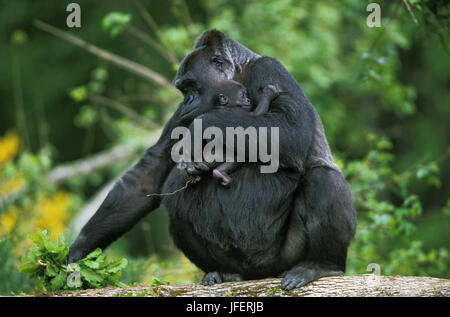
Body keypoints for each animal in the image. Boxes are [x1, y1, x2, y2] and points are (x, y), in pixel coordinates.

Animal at [68, 30, 356, 288]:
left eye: (192, 87)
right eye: (183, 91)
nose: (186, 102)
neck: (240, 70)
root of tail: (262, 274)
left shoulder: (269, 69)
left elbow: (289, 132)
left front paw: (202, 126)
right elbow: (149, 175)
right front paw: (80, 252)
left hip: (283, 260)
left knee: (322, 177)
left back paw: (321, 265)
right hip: (244, 267)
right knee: (175, 196)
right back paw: (223, 272)